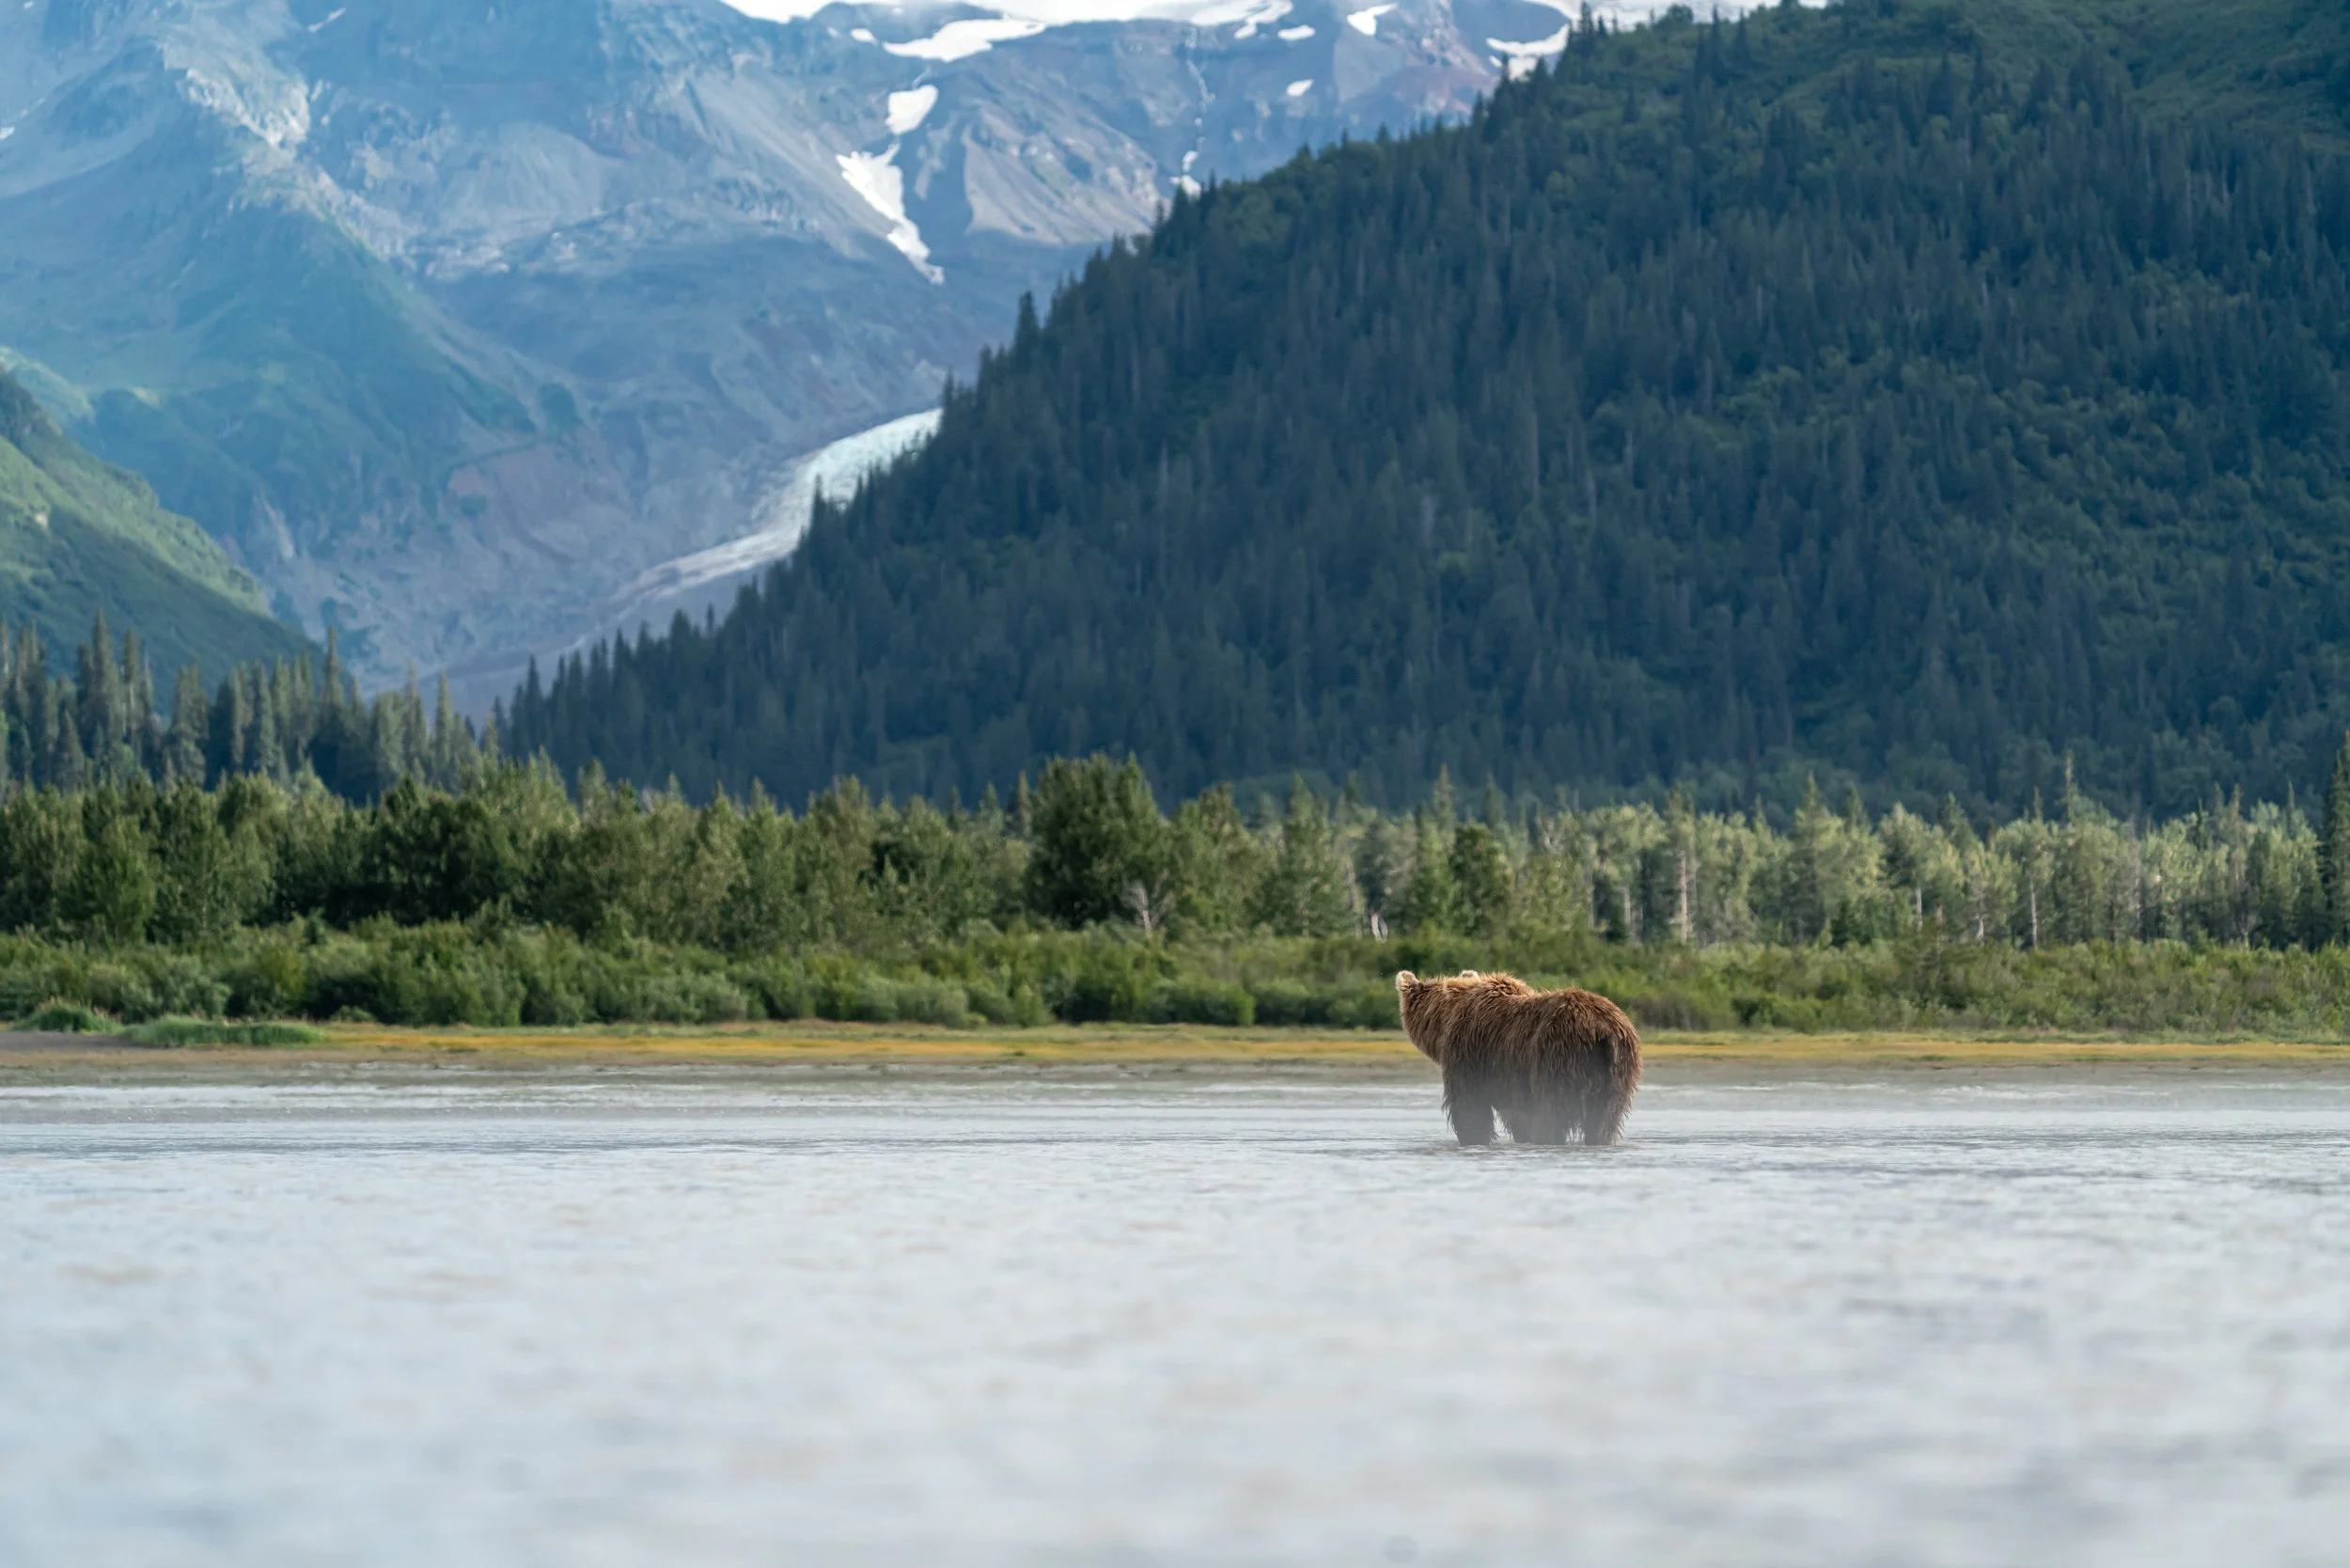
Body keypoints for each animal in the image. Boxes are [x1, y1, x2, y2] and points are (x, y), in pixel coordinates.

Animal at [1394, 969, 1642, 1146]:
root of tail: (1604, 1031)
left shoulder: (1469, 1054)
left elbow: (1469, 1104)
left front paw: (1473, 1137)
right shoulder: (1510, 1079)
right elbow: (1518, 1115)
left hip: (1558, 1057)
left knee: (1552, 1111)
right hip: (1619, 1069)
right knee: (1605, 1119)